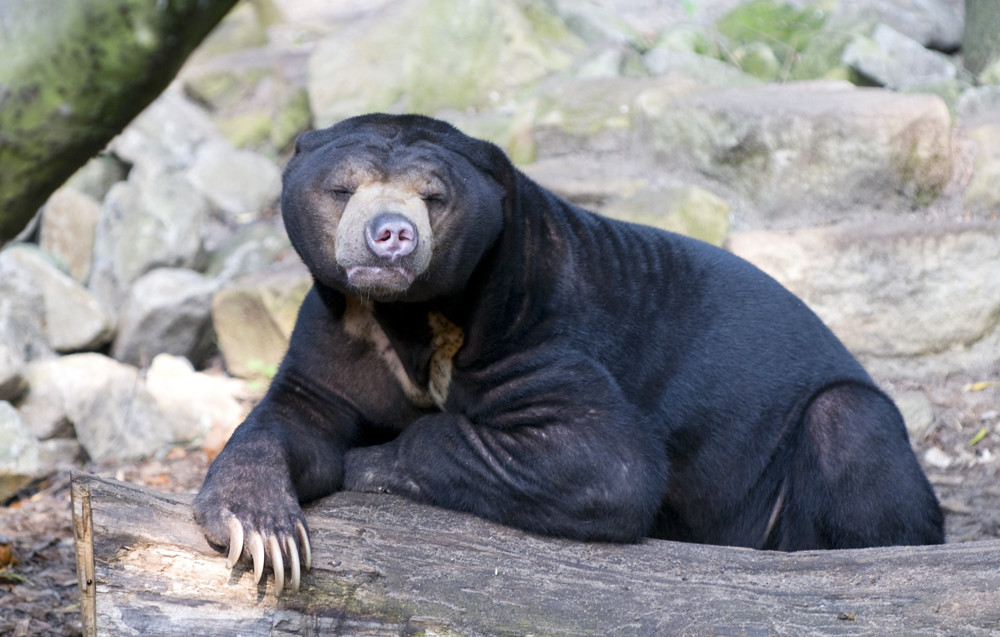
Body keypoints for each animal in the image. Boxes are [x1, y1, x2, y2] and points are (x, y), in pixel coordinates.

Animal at [195, 112, 944, 592]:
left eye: (434, 198)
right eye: (343, 188)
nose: (391, 235)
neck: (406, 316)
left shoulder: (535, 328)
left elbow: (605, 460)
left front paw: (368, 459)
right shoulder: (336, 329)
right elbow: (295, 414)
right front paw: (260, 531)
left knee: (849, 427)